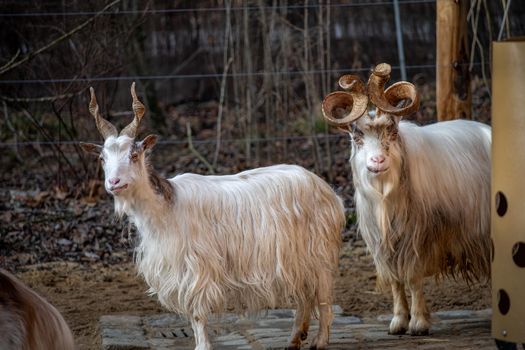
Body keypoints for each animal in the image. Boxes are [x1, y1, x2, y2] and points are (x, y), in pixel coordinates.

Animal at [80, 82, 346, 350]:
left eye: (133, 156)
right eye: (102, 158)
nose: (113, 183)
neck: (165, 209)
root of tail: (326, 189)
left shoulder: (197, 266)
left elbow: (197, 312)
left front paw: (202, 346)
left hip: (319, 254)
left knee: (323, 297)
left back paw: (320, 341)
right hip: (296, 258)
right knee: (305, 296)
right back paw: (294, 339)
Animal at [322, 63, 490, 336]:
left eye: (391, 131)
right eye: (357, 137)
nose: (377, 161)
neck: (386, 197)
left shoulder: (418, 238)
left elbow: (412, 278)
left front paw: (419, 323)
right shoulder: (382, 243)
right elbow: (395, 281)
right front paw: (398, 321)